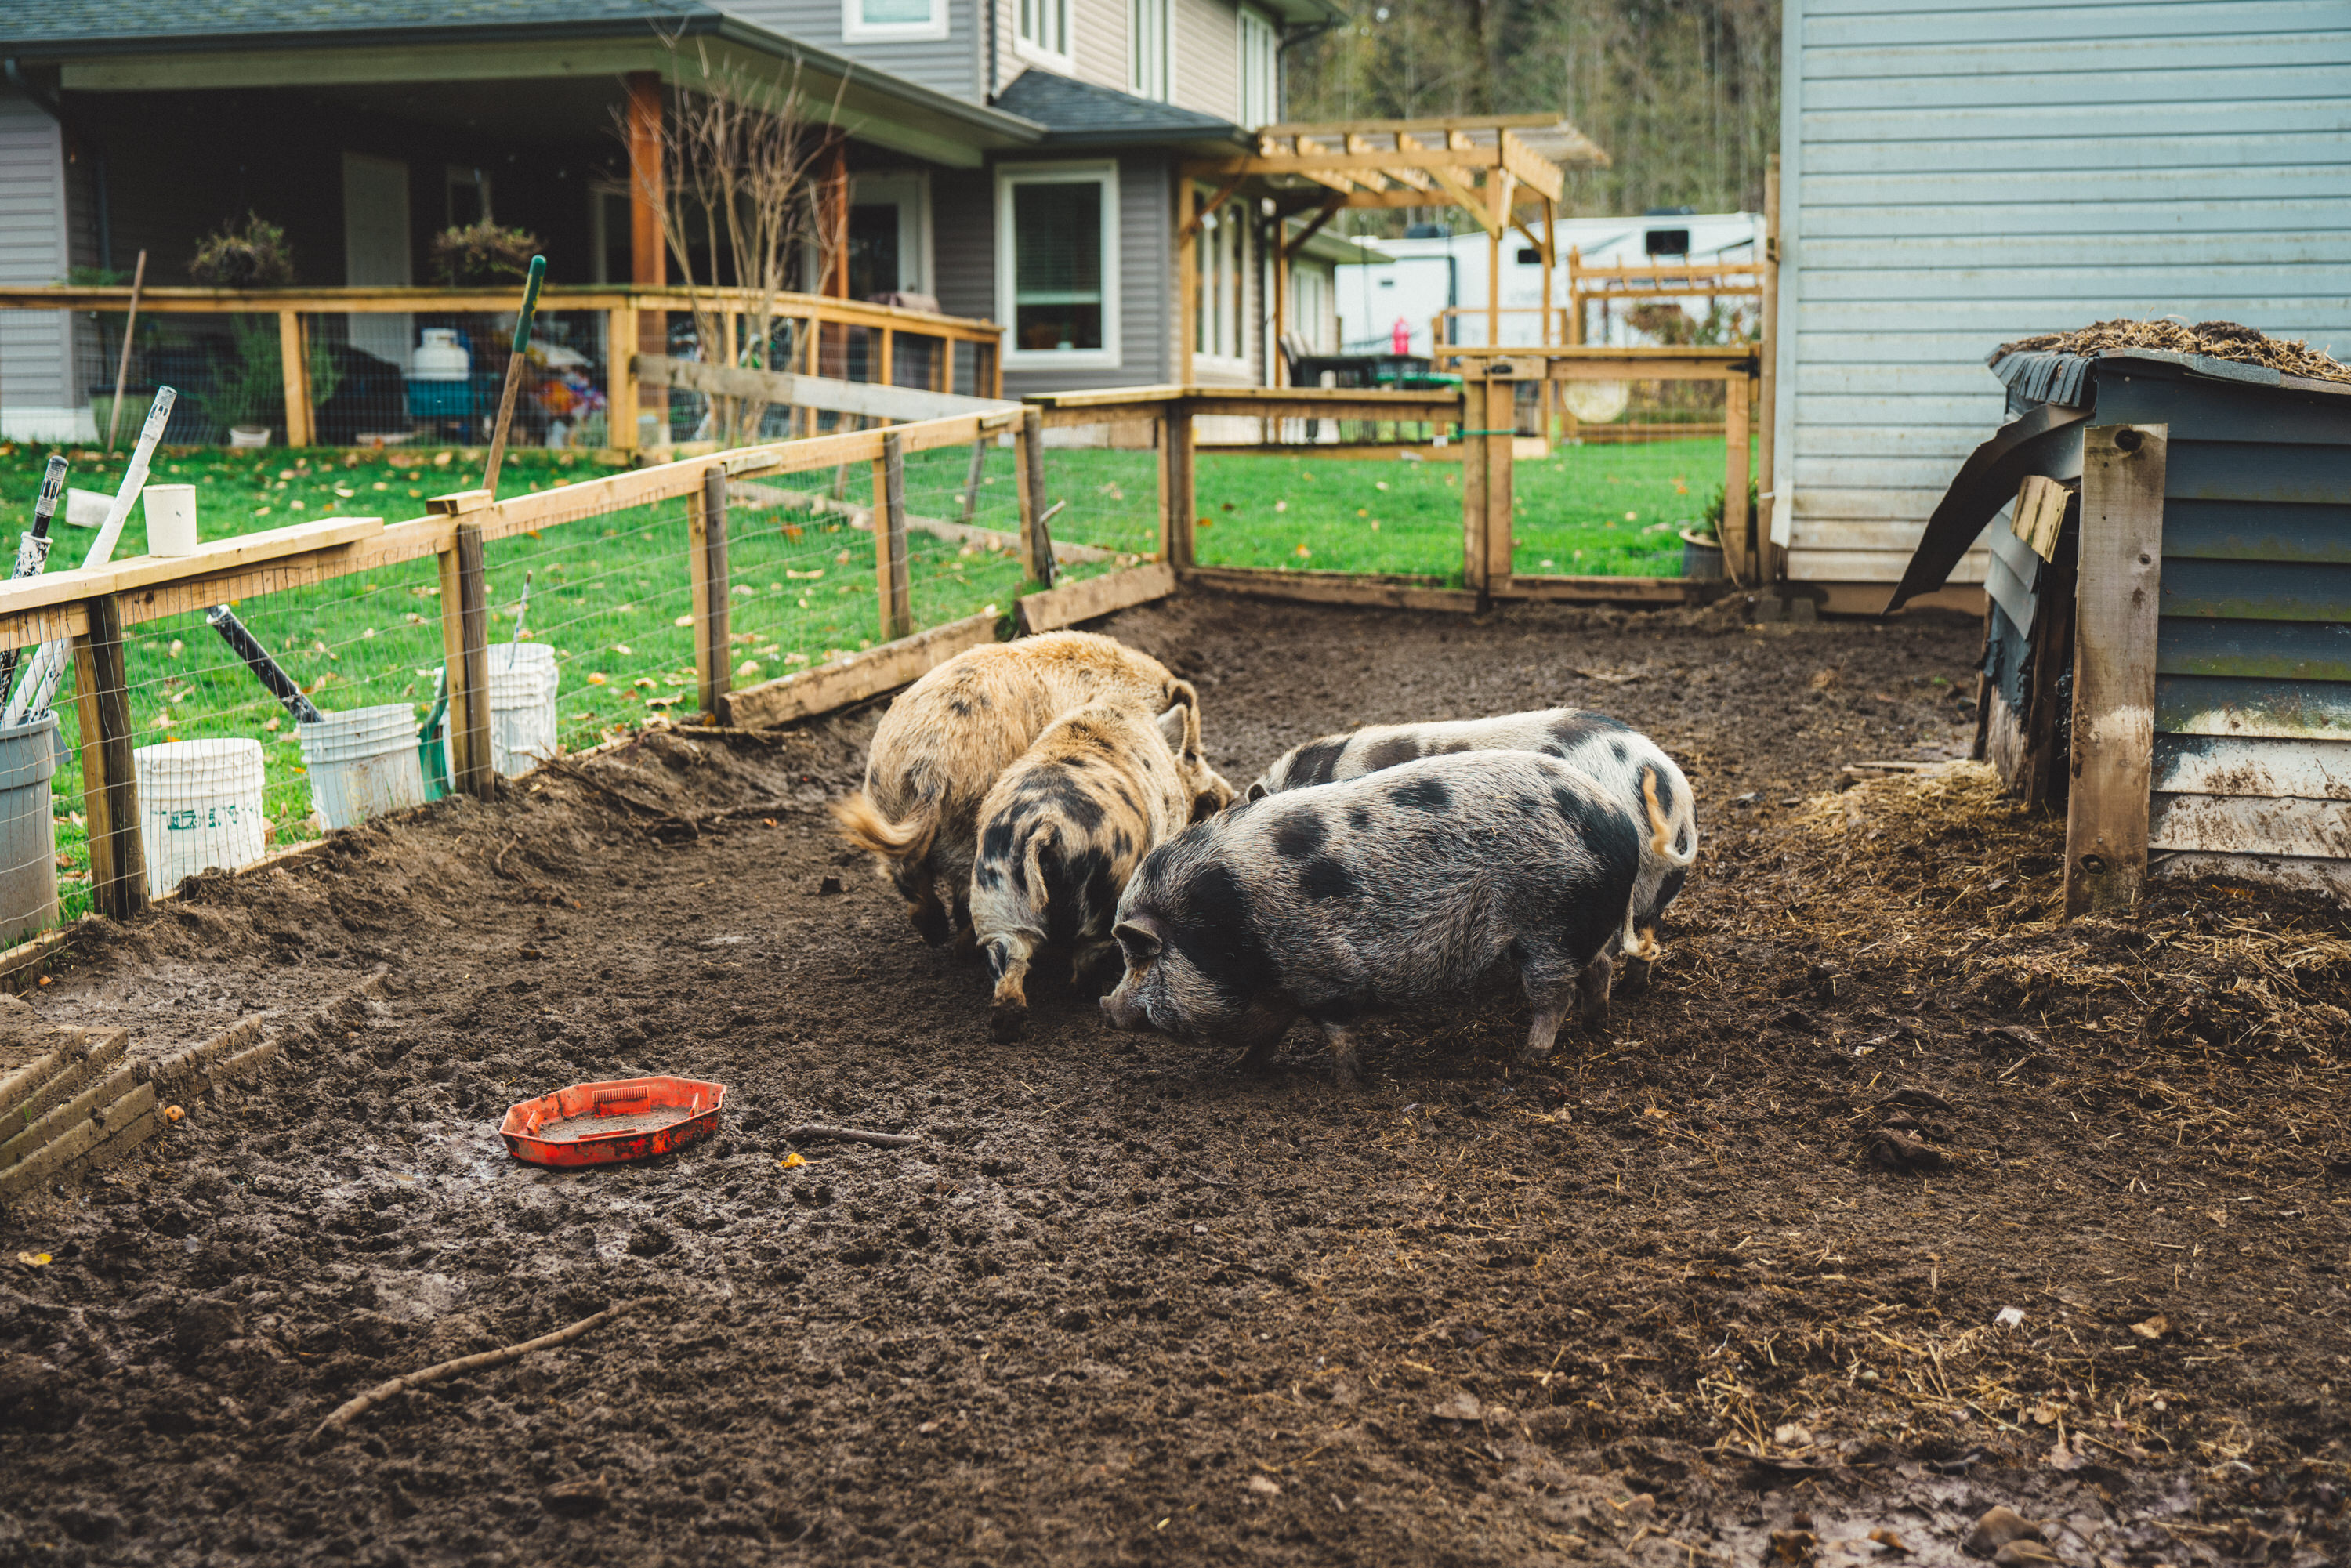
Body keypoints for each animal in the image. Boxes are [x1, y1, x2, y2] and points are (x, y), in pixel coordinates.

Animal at [831, 631, 1200, 949]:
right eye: (1191, 753)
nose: (1214, 796)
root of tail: (928, 769)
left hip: (885, 800)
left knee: (908, 879)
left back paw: (936, 937)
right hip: (969, 830)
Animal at [969, 702, 1235, 1042]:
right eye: (1193, 758)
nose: (1231, 794)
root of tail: (1046, 823)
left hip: (996, 894)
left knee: (1007, 961)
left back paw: (1008, 1028)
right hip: (1105, 899)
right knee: (1086, 956)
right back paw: (1082, 995)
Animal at [1101, 751, 1643, 1087]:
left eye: (1141, 957)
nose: (1105, 1007)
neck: (1226, 927)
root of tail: (1619, 821)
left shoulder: (1324, 972)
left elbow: (1337, 1034)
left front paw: (1345, 1085)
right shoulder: (1284, 986)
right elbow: (1269, 1034)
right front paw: (1242, 1068)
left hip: (1549, 925)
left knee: (1554, 996)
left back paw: (1526, 1060)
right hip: (1577, 928)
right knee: (1598, 970)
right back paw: (1596, 1025)